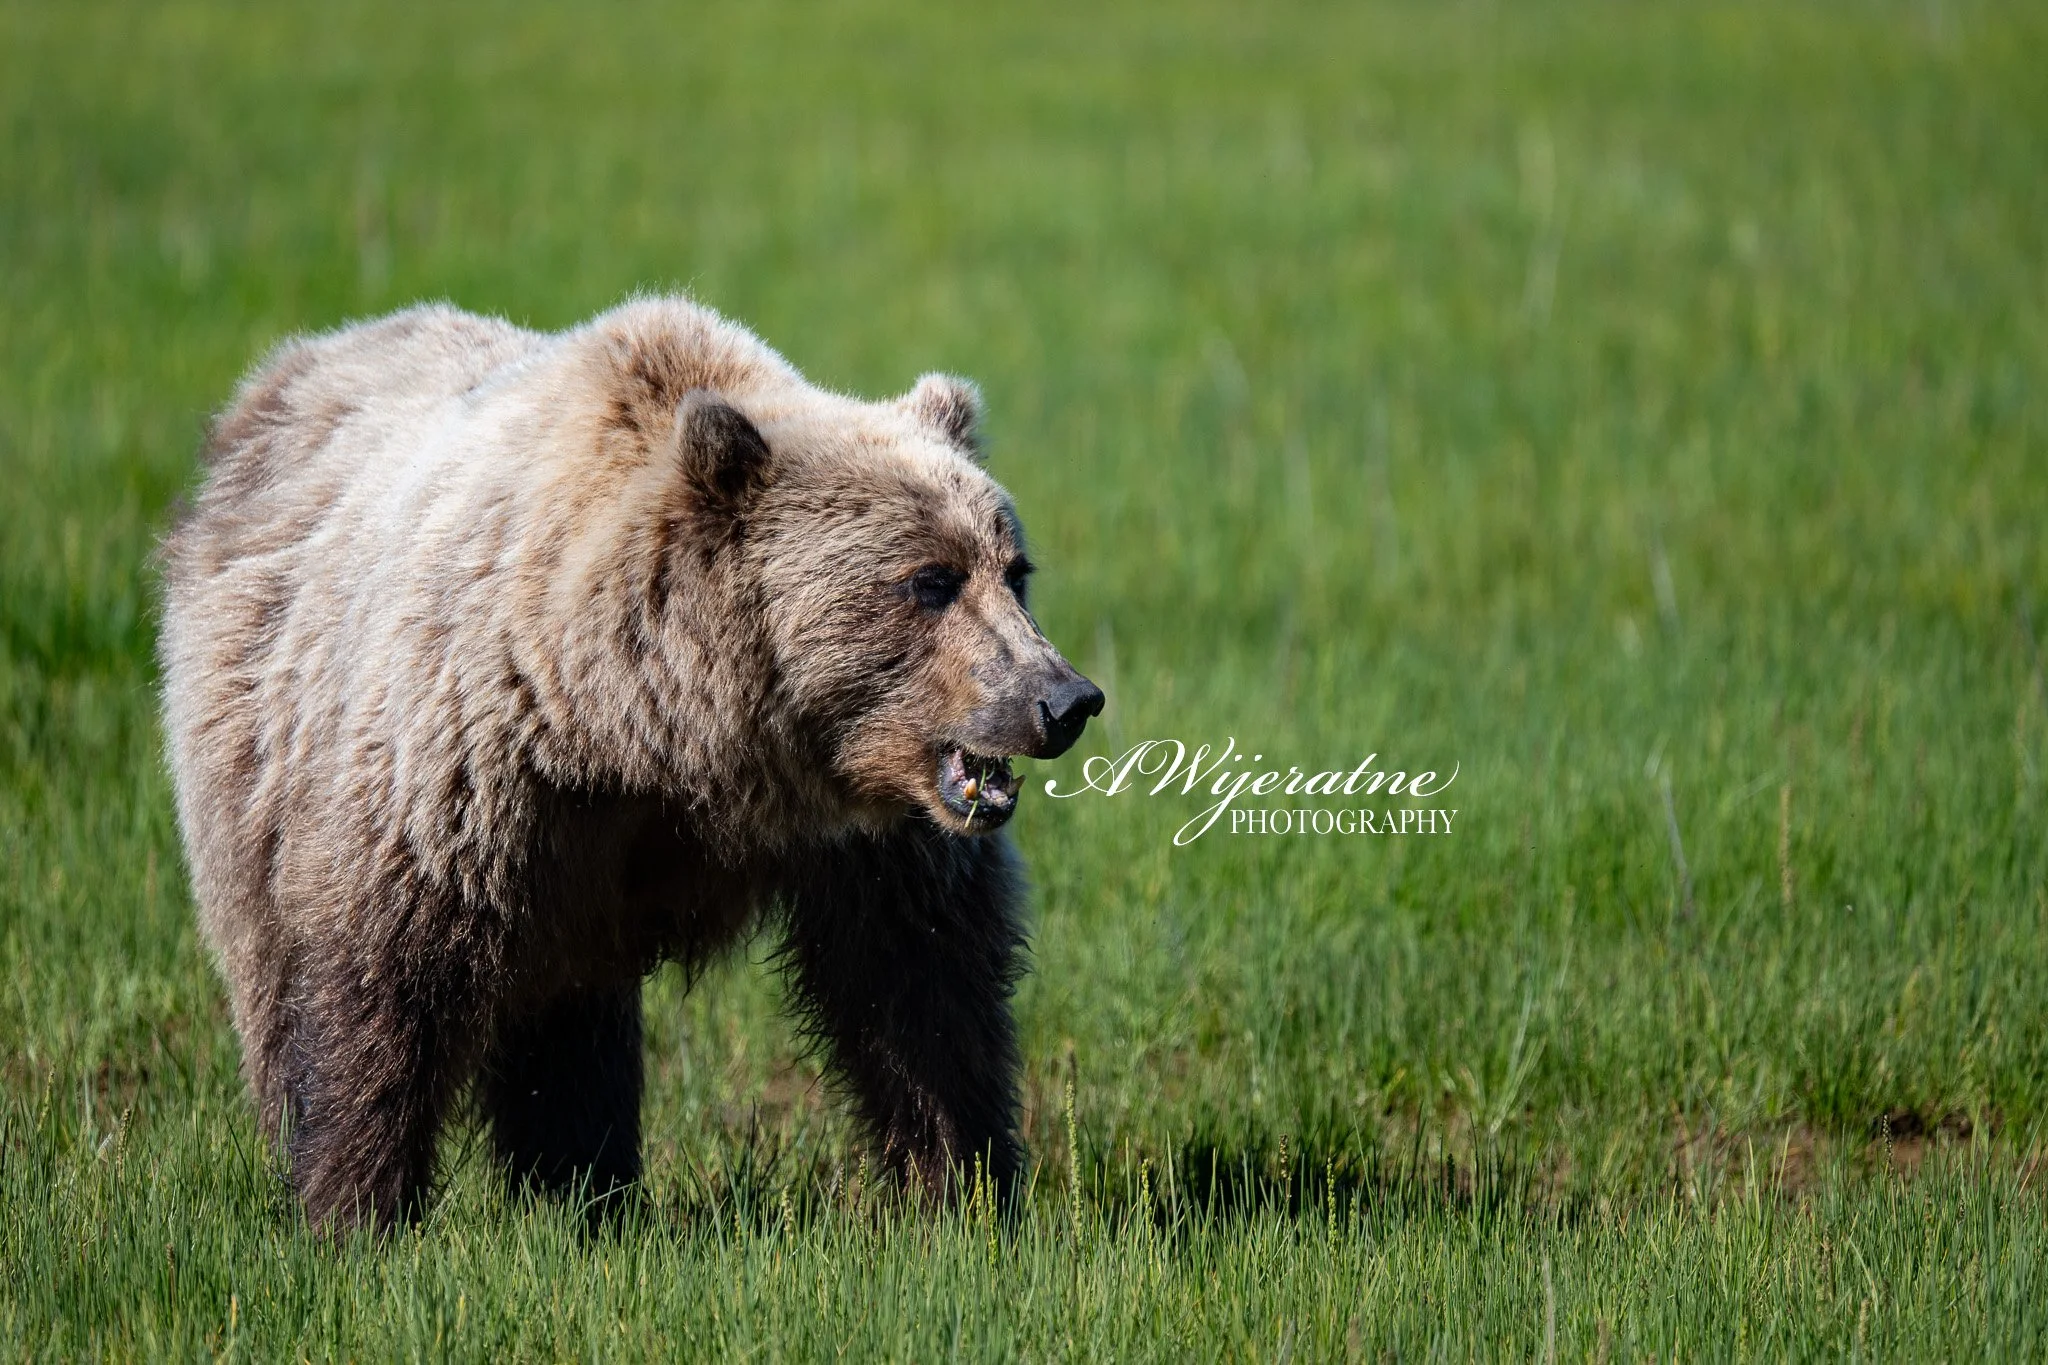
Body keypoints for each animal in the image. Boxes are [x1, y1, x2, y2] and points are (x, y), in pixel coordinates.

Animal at [157, 296, 1103, 1231]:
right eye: (930, 580)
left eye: (1014, 569)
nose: (1064, 699)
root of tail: (285, 372)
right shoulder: (466, 778)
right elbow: (386, 971)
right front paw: (356, 1209)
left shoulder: (865, 837)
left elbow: (921, 984)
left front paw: (964, 1188)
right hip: (254, 738)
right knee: (275, 967)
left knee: (567, 1013)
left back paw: (580, 1182)